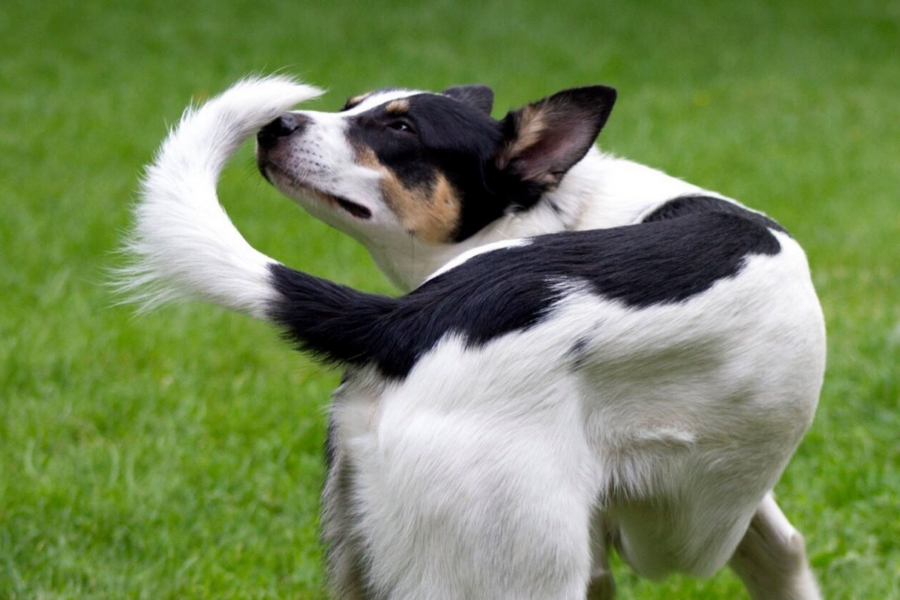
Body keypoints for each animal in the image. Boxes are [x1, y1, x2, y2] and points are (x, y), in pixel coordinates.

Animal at [123, 77, 828, 596]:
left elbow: (786, 556)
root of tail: (409, 320)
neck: (562, 212)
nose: (276, 125)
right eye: (351, 106)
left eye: (401, 127)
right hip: (544, 563)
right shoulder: (678, 530)